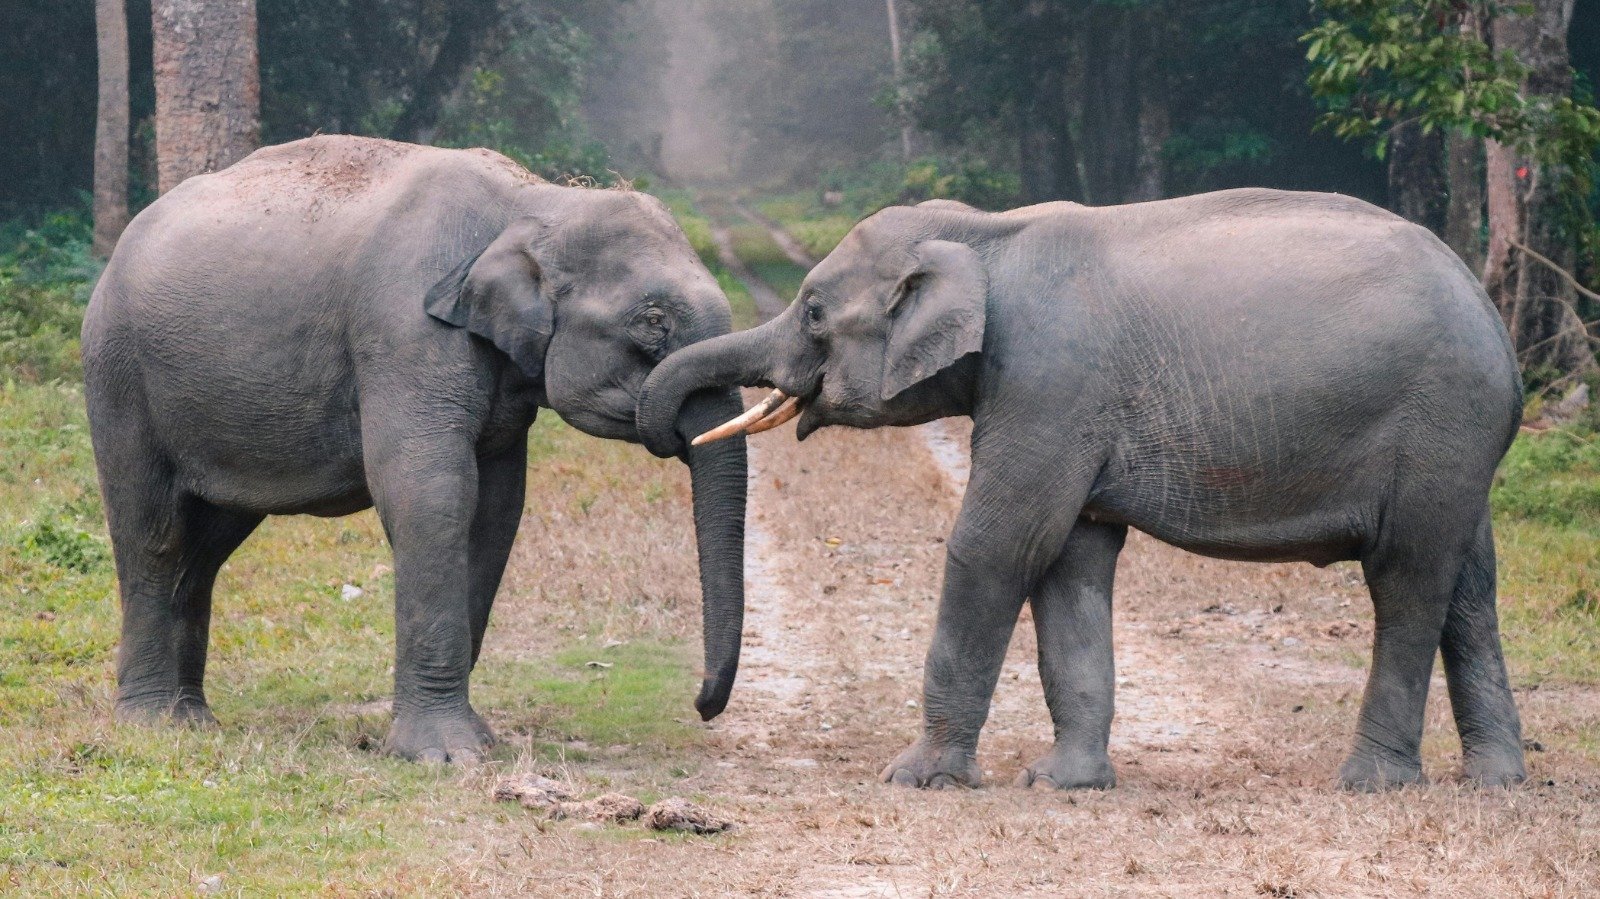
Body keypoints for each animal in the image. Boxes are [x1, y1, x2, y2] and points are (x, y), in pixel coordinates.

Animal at [82, 135, 747, 764]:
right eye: (653, 321)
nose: (702, 705)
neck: (533, 201)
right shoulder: (403, 333)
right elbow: (432, 495)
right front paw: (444, 755)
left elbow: (497, 509)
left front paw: (478, 741)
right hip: (119, 375)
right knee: (154, 533)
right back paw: (151, 723)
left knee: (207, 547)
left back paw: (193, 719)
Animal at [637, 189, 1526, 792]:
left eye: (815, 311)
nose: (704, 708)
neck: (985, 232)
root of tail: (1499, 326)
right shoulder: (1065, 408)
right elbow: (1071, 559)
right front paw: (1063, 782)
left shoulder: (1049, 384)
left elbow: (998, 544)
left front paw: (916, 778)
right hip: (1459, 443)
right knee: (1469, 585)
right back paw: (1496, 780)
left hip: (1440, 418)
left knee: (1407, 580)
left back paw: (1370, 783)